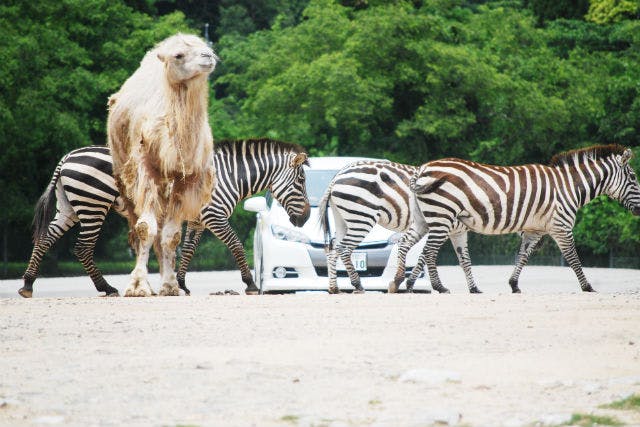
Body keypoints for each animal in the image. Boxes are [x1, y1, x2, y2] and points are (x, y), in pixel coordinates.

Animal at [20, 140, 310, 298]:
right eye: (302, 181)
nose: (306, 217)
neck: (225, 175)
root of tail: (67, 156)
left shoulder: (197, 219)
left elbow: (188, 251)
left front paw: (179, 284)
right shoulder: (214, 215)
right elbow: (236, 245)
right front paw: (249, 283)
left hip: (70, 206)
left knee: (45, 239)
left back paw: (27, 284)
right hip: (93, 203)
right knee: (82, 247)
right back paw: (107, 287)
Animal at [105, 33, 215, 296]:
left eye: (206, 46)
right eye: (179, 55)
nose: (209, 57)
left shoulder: (187, 178)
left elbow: (171, 236)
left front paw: (170, 285)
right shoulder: (144, 168)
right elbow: (146, 228)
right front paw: (138, 286)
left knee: (162, 229)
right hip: (123, 174)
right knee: (136, 226)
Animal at [316, 160, 428, 294]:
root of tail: (337, 176)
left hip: (341, 219)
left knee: (333, 248)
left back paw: (334, 288)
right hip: (362, 218)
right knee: (344, 248)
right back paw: (357, 285)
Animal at [408, 144, 640, 294]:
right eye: (634, 177)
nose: (639, 210)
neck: (568, 187)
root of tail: (423, 167)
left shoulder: (534, 230)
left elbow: (523, 256)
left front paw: (514, 284)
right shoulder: (561, 226)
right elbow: (573, 257)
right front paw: (588, 286)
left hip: (428, 218)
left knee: (418, 247)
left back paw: (410, 283)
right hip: (442, 216)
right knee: (429, 252)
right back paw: (430, 286)